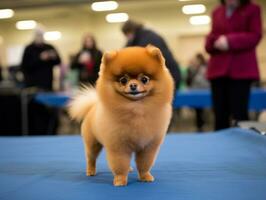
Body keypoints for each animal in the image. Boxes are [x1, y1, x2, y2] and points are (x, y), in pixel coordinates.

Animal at [68, 45, 175, 186]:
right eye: (123, 80)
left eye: (144, 79)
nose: (133, 85)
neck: (136, 108)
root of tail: (92, 107)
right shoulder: (118, 146)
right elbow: (120, 164)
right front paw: (120, 180)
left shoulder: (148, 147)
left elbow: (144, 163)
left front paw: (145, 176)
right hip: (92, 143)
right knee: (91, 157)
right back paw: (90, 171)